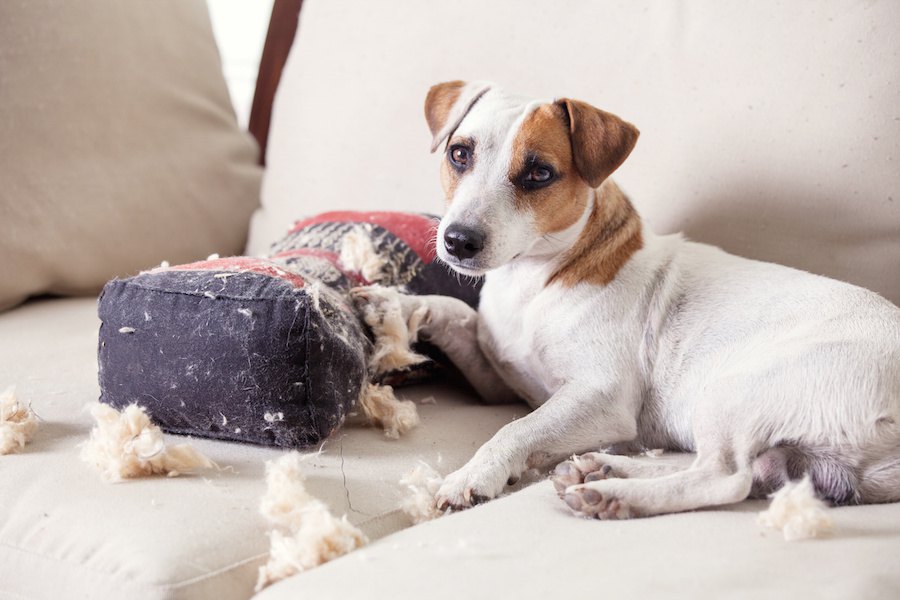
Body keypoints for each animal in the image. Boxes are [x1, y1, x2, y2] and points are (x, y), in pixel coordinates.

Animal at [352, 82, 900, 516]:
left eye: (539, 174)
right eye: (459, 154)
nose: (457, 241)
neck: (536, 279)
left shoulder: (599, 397)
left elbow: (517, 430)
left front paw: (473, 475)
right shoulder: (499, 381)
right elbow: (457, 312)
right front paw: (391, 304)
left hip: (733, 391)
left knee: (724, 478)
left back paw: (616, 496)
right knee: (745, 474)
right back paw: (600, 470)